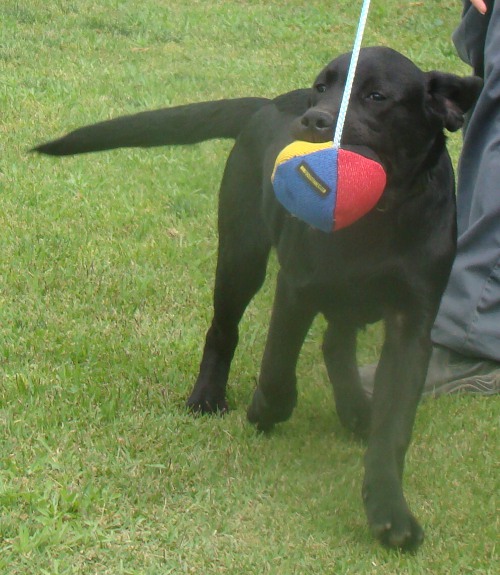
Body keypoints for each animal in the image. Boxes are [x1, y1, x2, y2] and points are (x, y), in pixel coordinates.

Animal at [33, 47, 482, 552]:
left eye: (376, 96)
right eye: (322, 88)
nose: (313, 120)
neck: (376, 219)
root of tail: (267, 105)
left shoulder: (412, 324)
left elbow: (395, 427)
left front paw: (390, 511)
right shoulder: (297, 286)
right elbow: (277, 366)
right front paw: (266, 409)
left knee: (335, 343)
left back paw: (353, 409)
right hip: (242, 254)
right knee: (223, 330)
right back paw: (208, 397)